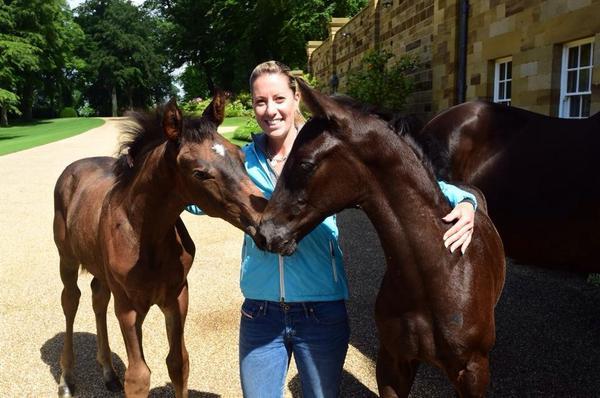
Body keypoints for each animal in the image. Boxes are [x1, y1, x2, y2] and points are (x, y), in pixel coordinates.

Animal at [53, 91, 264, 396]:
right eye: (199, 173)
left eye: (241, 156)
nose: (264, 220)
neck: (146, 235)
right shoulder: (128, 307)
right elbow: (138, 377)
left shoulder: (177, 296)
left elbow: (178, 363)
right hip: (66, 260)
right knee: (71, 301)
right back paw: (67, 380)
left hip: (101, 271)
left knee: (98, 298)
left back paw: (108, 373)